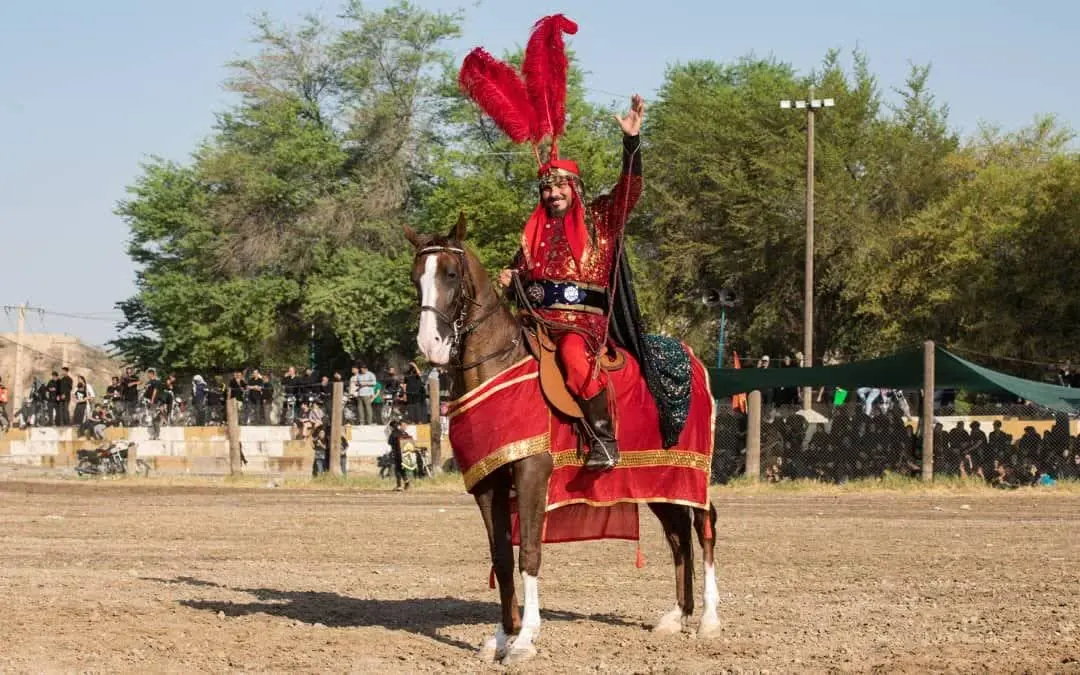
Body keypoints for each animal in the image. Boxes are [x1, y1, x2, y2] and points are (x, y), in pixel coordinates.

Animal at [403, 218, 717, 660]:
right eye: (416, 278)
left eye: (450, 274)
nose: (430, 344)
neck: (498, 361)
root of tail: (692, 359)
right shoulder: (488, 481)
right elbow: (502, 558)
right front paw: (502, 636)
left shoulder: (532, 471)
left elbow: (530, 554)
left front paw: (524, 640)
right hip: (657, 478)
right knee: (678, 533)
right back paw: (677, 615)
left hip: (692, 471)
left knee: (705, 525)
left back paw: (708, 619)